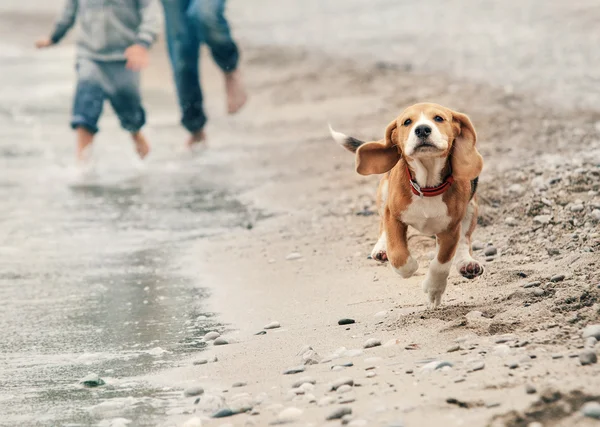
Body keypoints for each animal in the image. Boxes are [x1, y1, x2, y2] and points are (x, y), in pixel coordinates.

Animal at [330, 101, 486, 308]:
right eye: (407, 122)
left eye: (439, 118)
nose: (422, 129)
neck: (426, 186)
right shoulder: (393, 215)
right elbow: (398, 254)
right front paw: (409, 267)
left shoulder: (450, 228)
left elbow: (441, 262)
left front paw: (433, 290)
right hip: (384, 194)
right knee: (382, 226)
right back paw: (381, 249)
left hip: (471, 208)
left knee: (465, 239)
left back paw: (467, 264)